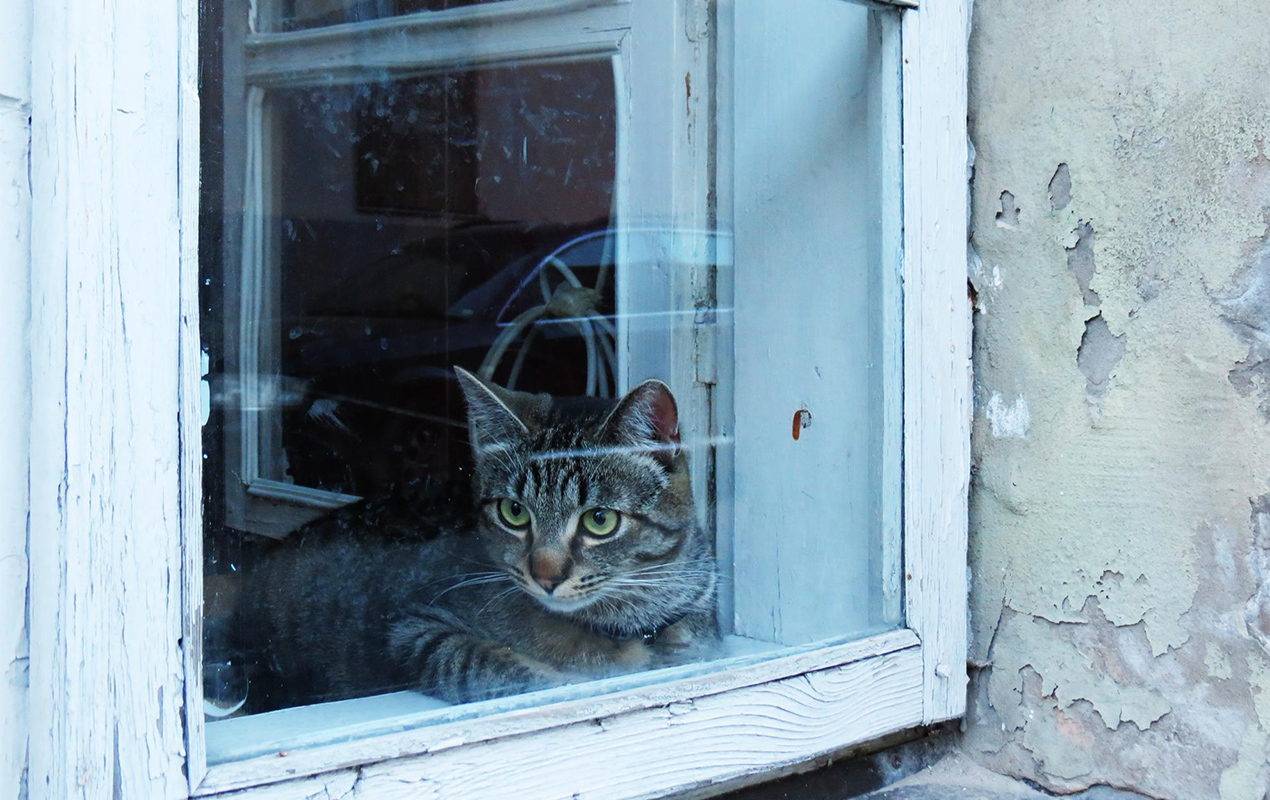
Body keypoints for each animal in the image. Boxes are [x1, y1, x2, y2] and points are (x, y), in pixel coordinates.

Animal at [238, 365, 716, 711]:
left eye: (599, 520)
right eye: (514, 512)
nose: (545, 576)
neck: (628, 622)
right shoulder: (415, 627)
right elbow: (495, 668)